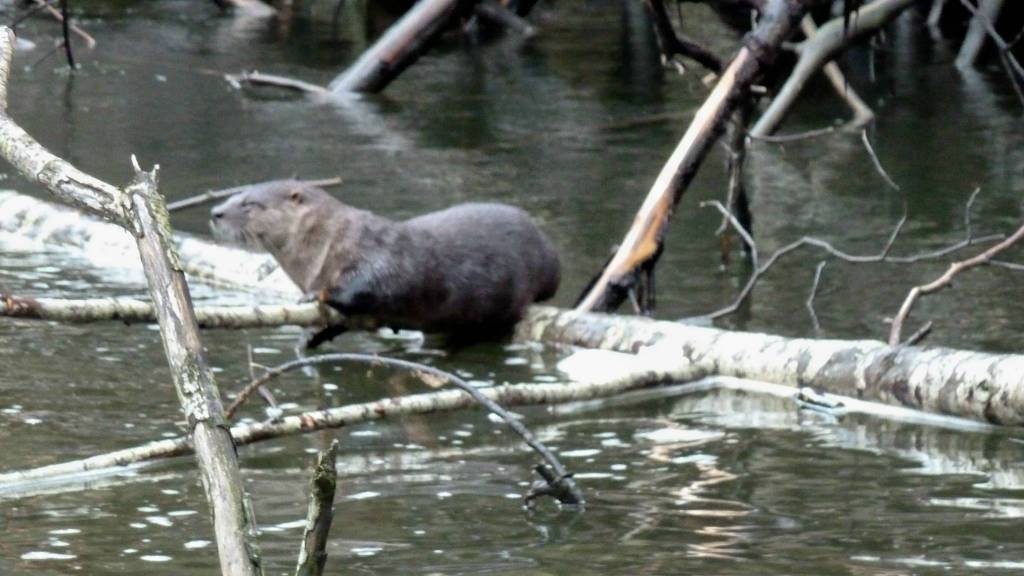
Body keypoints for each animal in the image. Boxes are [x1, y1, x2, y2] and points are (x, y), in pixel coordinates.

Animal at [210, 180, 560, 345]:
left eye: (250, 203)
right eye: (234, 195)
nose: (215, 212)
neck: (324, 246)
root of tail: (549, 252)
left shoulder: (373, 251)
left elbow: (371, 285)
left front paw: (315, 296)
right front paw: (313, 335)